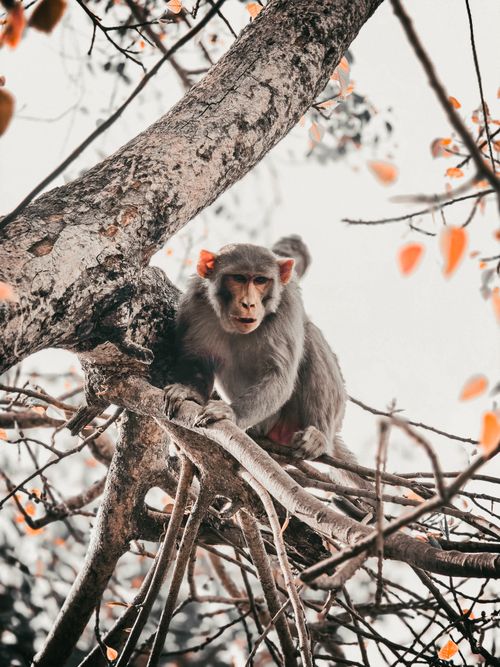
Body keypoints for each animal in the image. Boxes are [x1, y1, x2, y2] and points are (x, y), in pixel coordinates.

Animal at [163, 236, 362, 475]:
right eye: (238, 278)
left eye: (260, 280)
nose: (248, 303)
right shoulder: (194, 303)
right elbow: (197, 359)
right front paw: (188, 391)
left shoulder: (287, 305)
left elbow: (279, 375)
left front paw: (231, 412)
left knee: (311, 336)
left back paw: (318, 434)